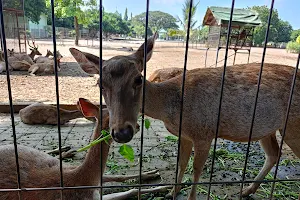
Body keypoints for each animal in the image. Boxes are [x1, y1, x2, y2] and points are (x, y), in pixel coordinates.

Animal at [0, 98, 166, 200]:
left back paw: (67, 150)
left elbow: (119, 177)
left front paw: (152, 173)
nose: (137, 126)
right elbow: (132, 190)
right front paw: (163, 187)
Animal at [72, 32, 300, 199]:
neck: (172, 110)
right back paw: (246, 190)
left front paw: (188, 196)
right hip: (267, 128)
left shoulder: (204, 133)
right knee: (274, 153)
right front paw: (172, 192)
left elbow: (197, 169)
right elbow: (181, 163)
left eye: (138, 79)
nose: (122, 132)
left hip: (293, 125)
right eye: (100, 84)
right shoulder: (185, 135)